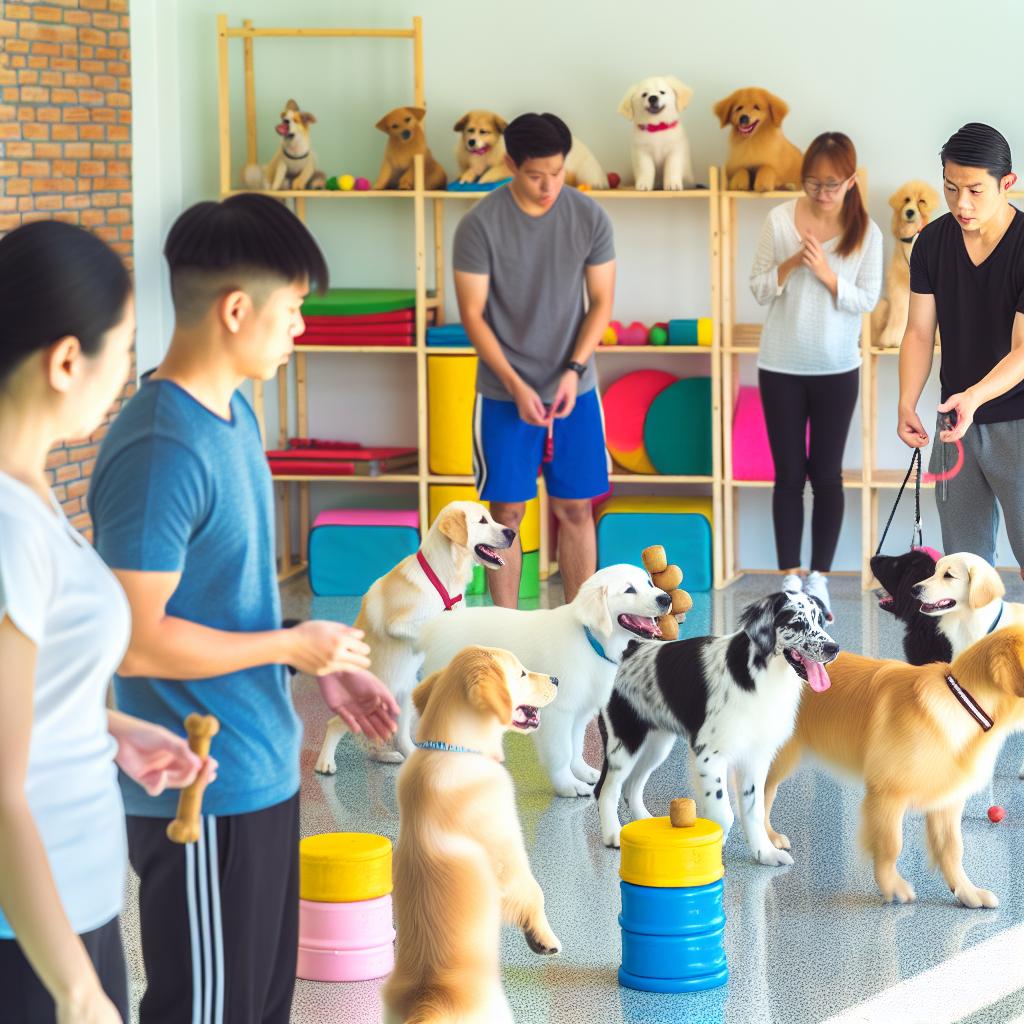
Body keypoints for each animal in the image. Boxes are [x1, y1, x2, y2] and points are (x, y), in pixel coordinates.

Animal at [311, 499, 516, 770]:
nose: (512, 533)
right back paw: (325, 763)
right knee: (335, 725)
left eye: (491, 518)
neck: (442, 577)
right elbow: (428, 627)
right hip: (372, 701)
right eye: (482, 521)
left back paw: (400, 756)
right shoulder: (398, 623)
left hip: (403, 698)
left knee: (393, 740)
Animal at [382, 647, 561, 1024]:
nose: (555, 678)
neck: (450, 748)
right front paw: (543, 938)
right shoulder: (508, 852)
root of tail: (429, 1003)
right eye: (521, 673)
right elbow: (533, 892)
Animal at [415, 565, 671, 794]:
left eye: (649, 584)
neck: (590, 640)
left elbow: (576, 747)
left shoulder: (579, 712)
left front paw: (583, 772)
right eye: (629, 590)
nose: (666, 598)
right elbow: (562, 752)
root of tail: (436, 626)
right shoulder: (559, 712)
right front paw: (568, 785)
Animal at [593, 585, 839, 864]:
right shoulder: (710, 756)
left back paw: (644, 826)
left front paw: (764, 853)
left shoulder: (756, 757)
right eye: (797, 624)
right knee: (606, 789)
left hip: (656, 744)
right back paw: (613, 835)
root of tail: (628, 648)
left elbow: (754, 810)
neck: (758, 674)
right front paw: (711, 850)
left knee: (631, 787)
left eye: (820, 621)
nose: (833, 648)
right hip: (624, 741)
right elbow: (724, 814)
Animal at [761, 626, 1024, 909]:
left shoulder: (947, 801)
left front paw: (967, 891)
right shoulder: (887, 793)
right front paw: (892, 886)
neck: (963, 703)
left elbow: (952, 849)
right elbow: (890, 845)